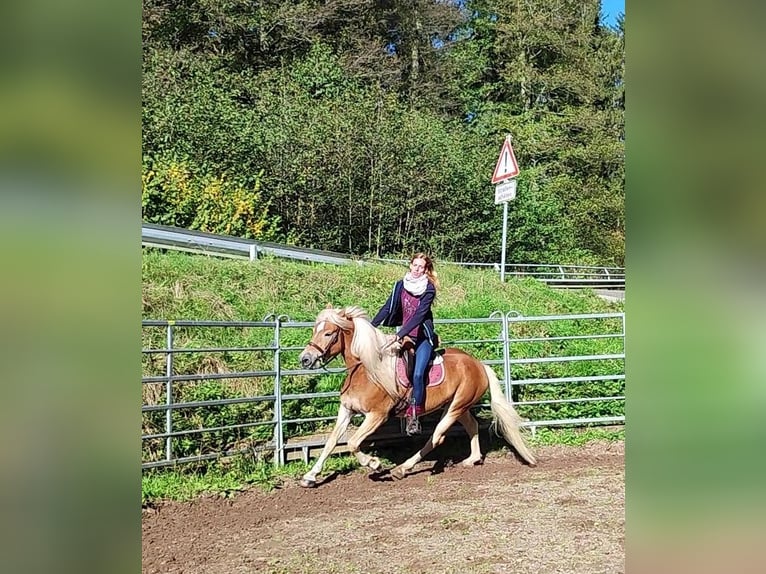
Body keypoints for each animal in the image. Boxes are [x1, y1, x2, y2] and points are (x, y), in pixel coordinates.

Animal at [296, 308, 536, 488]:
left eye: (328, 333)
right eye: (315, 330)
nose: (305, 359)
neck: (365, 369)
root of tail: (478, 364)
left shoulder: (377, 415)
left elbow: (353, 443)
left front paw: (374, 464)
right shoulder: (346, 410)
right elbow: (332, 442)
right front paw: (310, 477)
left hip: (455, 408)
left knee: (437, 437)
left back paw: (403, 469)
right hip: (458, 405)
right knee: (472, 426)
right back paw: (472, 459)